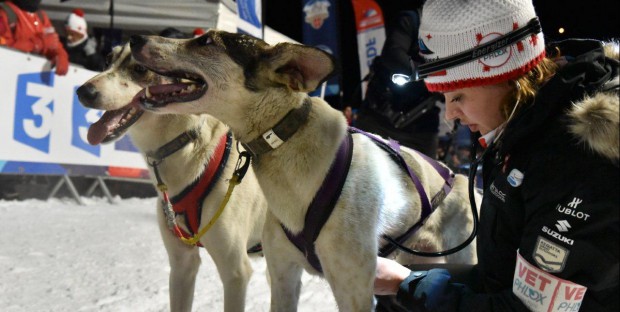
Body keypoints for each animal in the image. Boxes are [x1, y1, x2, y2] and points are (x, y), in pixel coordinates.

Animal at [75, 43, 266, 312]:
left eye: (140, 69)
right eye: (108, 59)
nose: (83, 91)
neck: (186, 143)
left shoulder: (235, 273)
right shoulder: (182, 265)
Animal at [126, 29, 474, 312]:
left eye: (206, 41)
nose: (134, 39)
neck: (284, 139)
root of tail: (460, 177)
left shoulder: (354, 291)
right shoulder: (282, 276)